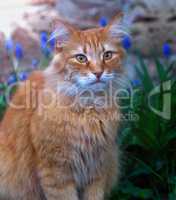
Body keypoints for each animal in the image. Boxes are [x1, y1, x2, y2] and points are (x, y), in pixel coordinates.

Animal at [0, 12, 126, 200]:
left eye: (107, 55)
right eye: (81, 58)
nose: (98, 73)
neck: (89, 109)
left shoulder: (98, 168)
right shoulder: (56, 171)